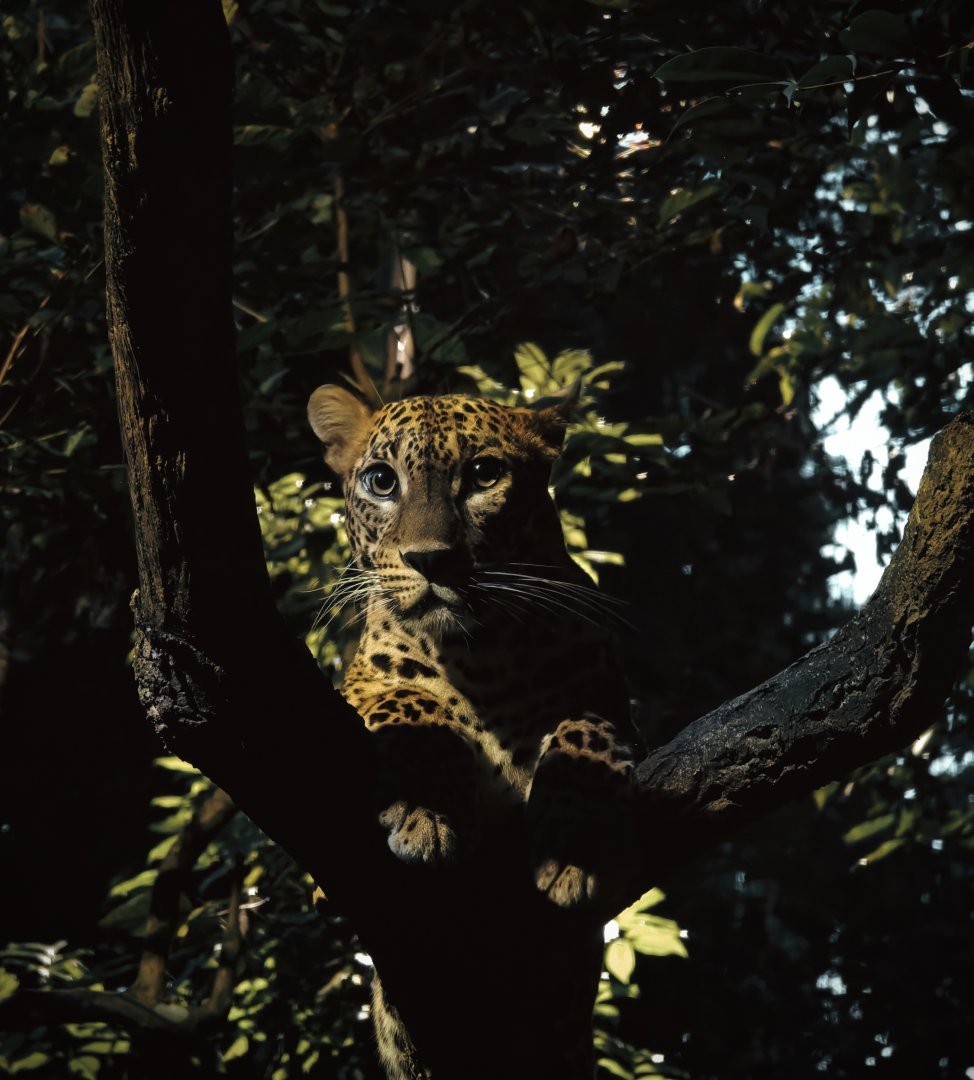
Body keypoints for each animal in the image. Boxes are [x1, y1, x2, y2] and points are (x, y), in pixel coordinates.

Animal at [307, 382, 639, 1079]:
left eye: (484, 474)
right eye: (382, 481)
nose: (430, 561)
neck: (482, 658)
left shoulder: (609, 699)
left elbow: (583, 729)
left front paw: (576, 845)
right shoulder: (360, 686)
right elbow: (409, 700)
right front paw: (428, 815)